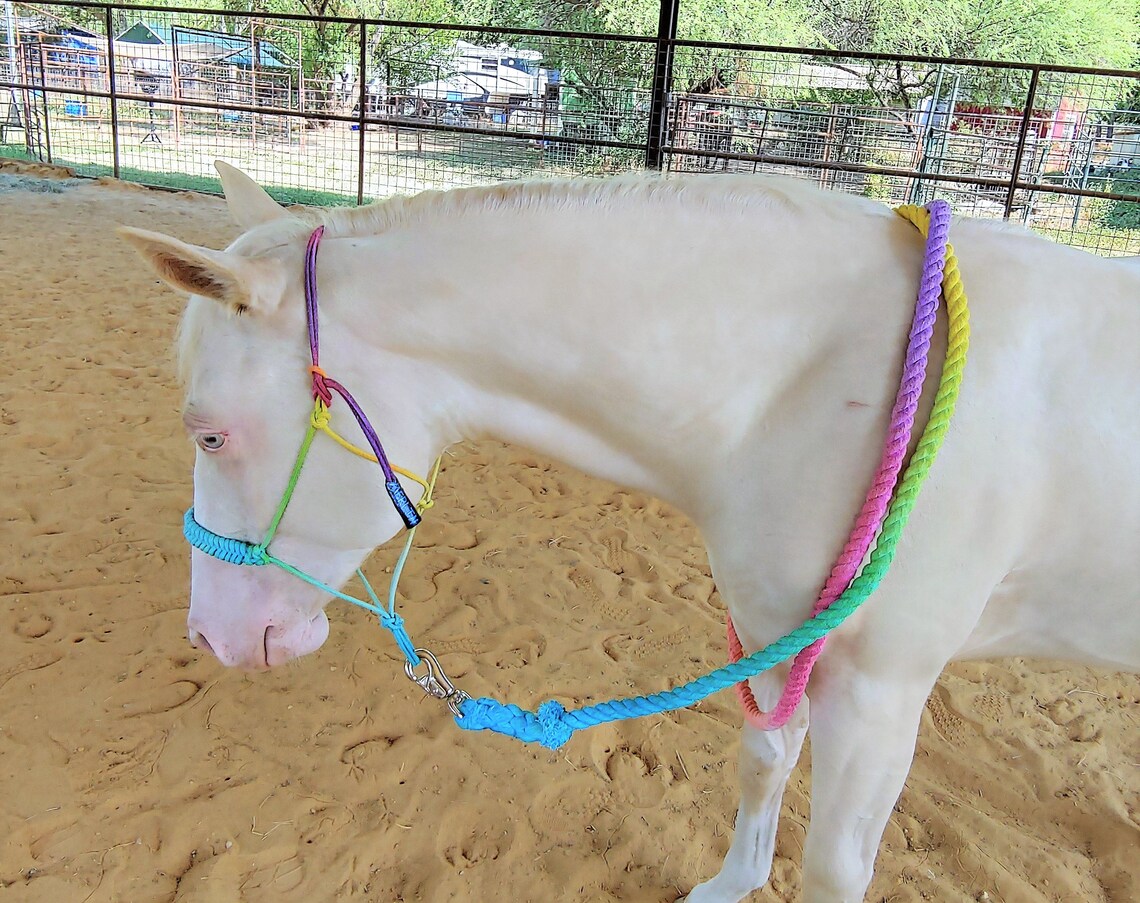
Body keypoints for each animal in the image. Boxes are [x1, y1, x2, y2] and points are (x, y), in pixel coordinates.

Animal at [121, 163, 1139, 902]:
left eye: (208, 433)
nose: (209, 636)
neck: (824, 383)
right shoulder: (776, 640)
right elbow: (763, 761)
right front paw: (732, 883)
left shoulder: (882, 694)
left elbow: (834, 868)